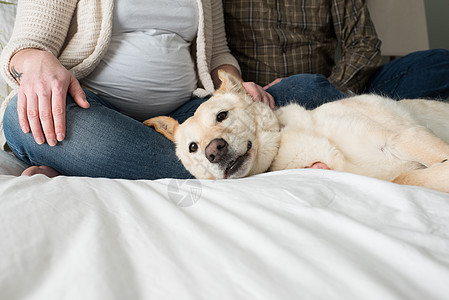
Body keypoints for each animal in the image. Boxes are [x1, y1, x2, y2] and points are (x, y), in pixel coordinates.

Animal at [143, 71, 448, 192]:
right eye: (193, 147)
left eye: (221, 115)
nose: (213, 151)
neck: (284, 138)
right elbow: (405, 178)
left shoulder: (405, 136)